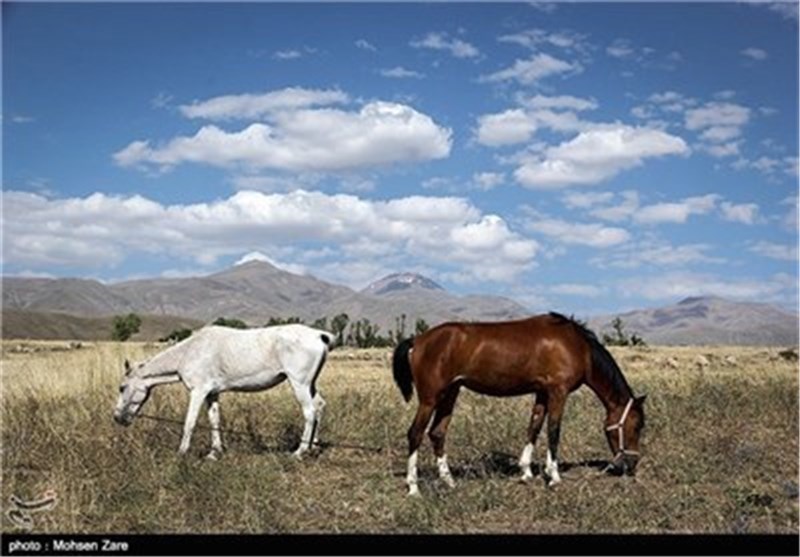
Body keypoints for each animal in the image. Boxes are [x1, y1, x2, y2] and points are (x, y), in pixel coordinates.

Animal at [112, 324, 332, 458]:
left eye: (122, 388)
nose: (117, 418)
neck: (189, 352)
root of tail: (318, 336)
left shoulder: (198, 392)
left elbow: (190, 422)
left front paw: (181, 453)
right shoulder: (212, 393)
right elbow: (214, 420)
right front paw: (214, 452)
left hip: (299, 384)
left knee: (309, 412)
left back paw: (300, 451)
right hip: (310, 385)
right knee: (320, 406)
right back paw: (314, 446)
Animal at [390, 310, 648, 494]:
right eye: (636, 426)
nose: (631, 464)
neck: (577, 347)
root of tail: (418, 340)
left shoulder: (542, 393)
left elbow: (534, 426)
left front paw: (526, 472)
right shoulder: (558, 392)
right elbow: (553, 431)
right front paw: (553, 477)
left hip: (451, 393)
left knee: (437, 433)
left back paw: (449, 481)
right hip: (430, 398)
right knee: (415, 433)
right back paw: (413, 486)